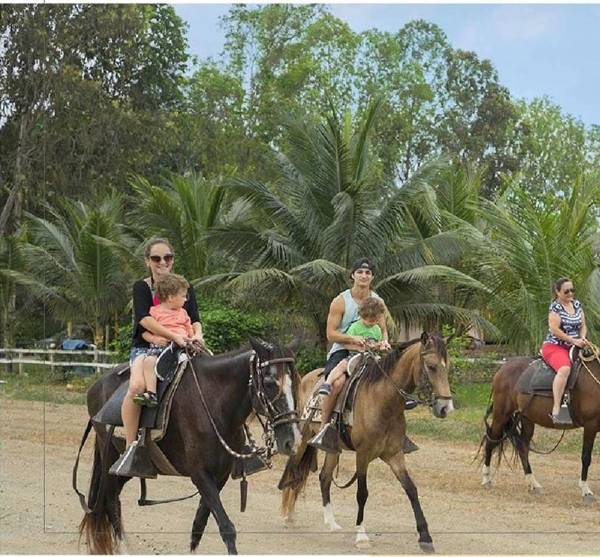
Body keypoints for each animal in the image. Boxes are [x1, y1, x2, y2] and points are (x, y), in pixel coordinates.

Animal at [75, 336, 300, 552]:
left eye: (295, 383)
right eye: (270, 382)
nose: (292, 441)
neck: (213, 402)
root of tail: (95, 387)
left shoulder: (219, 476)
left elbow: (198, 525)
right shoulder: (200, 475)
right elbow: (226, 527)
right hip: (110, 459)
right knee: (110, 501)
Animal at [278, 334, 452, 552]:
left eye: (447, 366)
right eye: (431, 366)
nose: (446, 407)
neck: (383, 401)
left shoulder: (394, 454)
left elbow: (411, 489)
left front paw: (425, 537)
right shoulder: (363, 454)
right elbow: (362, 493)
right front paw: (361, 536)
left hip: (332, 448)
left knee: (324, 478)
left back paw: (331, 523)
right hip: (302, 438)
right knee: (293, 470)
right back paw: (287, 516)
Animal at [480, 346, 600, 502]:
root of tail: (503, 368)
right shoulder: (590, 425)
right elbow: (586, 457)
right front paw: (586, 490)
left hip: (526, 418)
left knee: (522, 447)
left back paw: (533, 483)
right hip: (501, 415)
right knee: (491, 441)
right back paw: (486, 479)